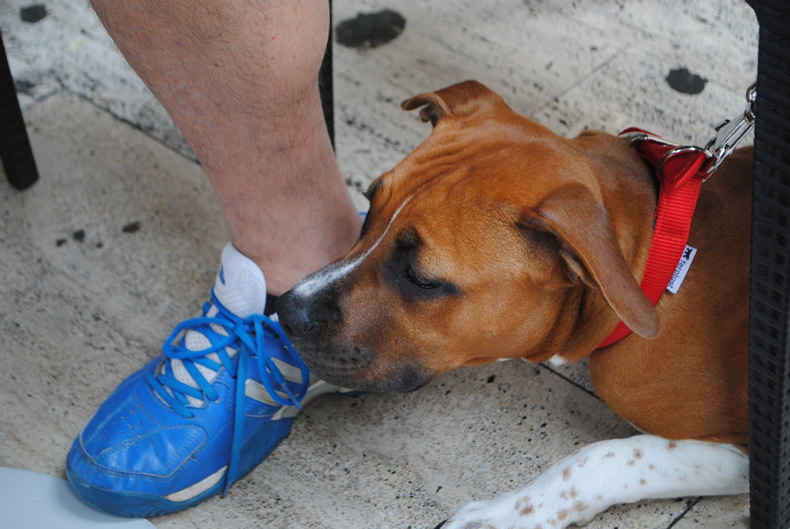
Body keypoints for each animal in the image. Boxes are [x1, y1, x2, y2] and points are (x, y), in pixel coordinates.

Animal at [278, 80, 756, 524]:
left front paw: (501, 515)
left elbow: (600, 458)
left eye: (421, 279)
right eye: (369, 208)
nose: (286, 311)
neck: (660, 260)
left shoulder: (739, 452)